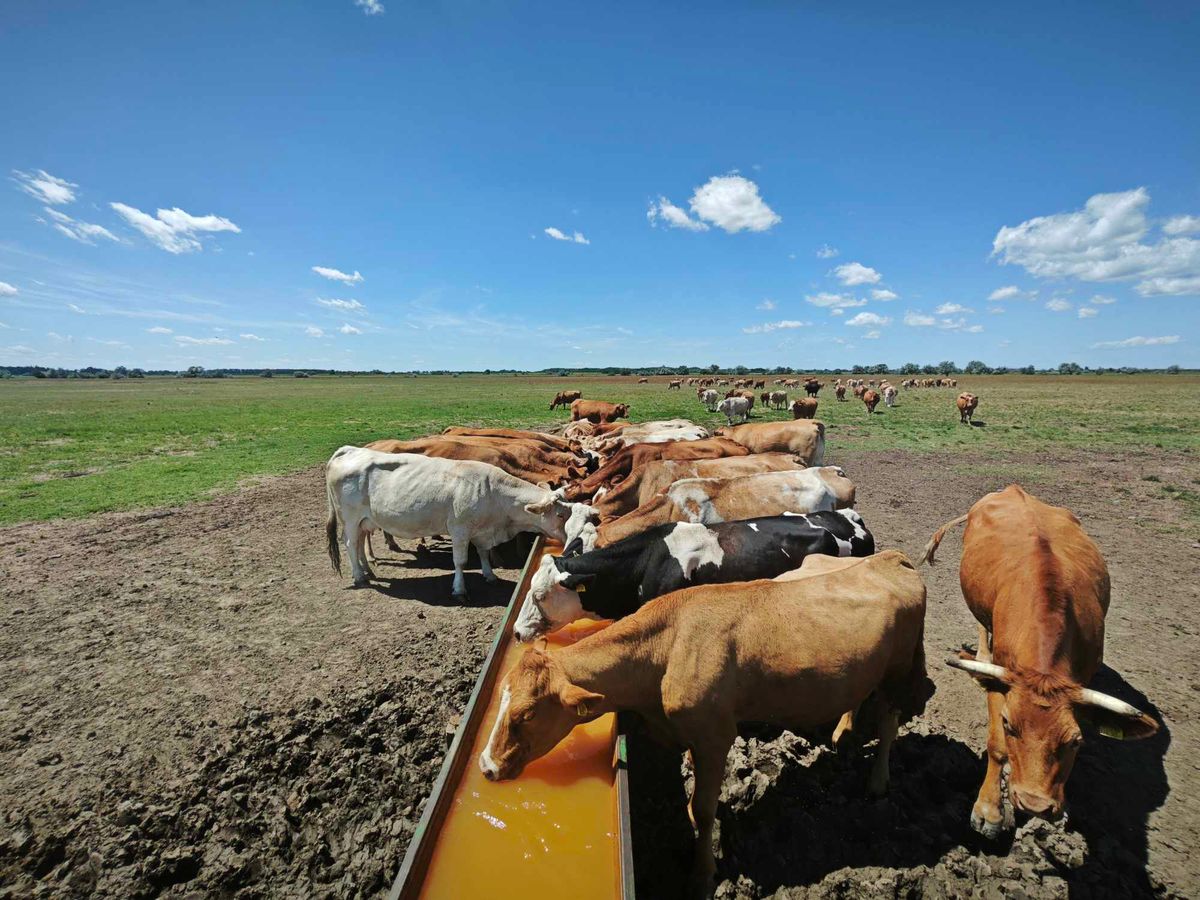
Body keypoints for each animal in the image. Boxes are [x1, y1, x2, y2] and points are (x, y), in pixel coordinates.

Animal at [324, 451, 595, 600]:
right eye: (560, 514)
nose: (573, 540)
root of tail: (349, 450)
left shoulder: (482, 532)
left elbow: (484, 553)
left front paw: (489, 575)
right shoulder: (459, 530)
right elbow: (460, 561)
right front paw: (459, 589)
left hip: (363, 520)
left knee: (359, 542)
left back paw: (367, 569)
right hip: (350, 518)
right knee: (350, 544)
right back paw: (360, 576)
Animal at [482, 549, 931, 897]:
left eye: (525, 715)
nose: (486, 767)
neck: (665, 646)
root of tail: (890, 558)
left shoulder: (715, 735)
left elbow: (702, 808)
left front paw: (701, 876)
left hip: (899, 667)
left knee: (889, 721)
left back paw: (878, 781)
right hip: (868, 667)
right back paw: (842, 733)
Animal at [921, 487, 1156, 840]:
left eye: (1075, 741)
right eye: (1008, 725)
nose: (1034, 804)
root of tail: (1011, 489)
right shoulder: (1004, 679)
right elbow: (996, 746)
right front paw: (989, 811)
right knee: (982, 625)